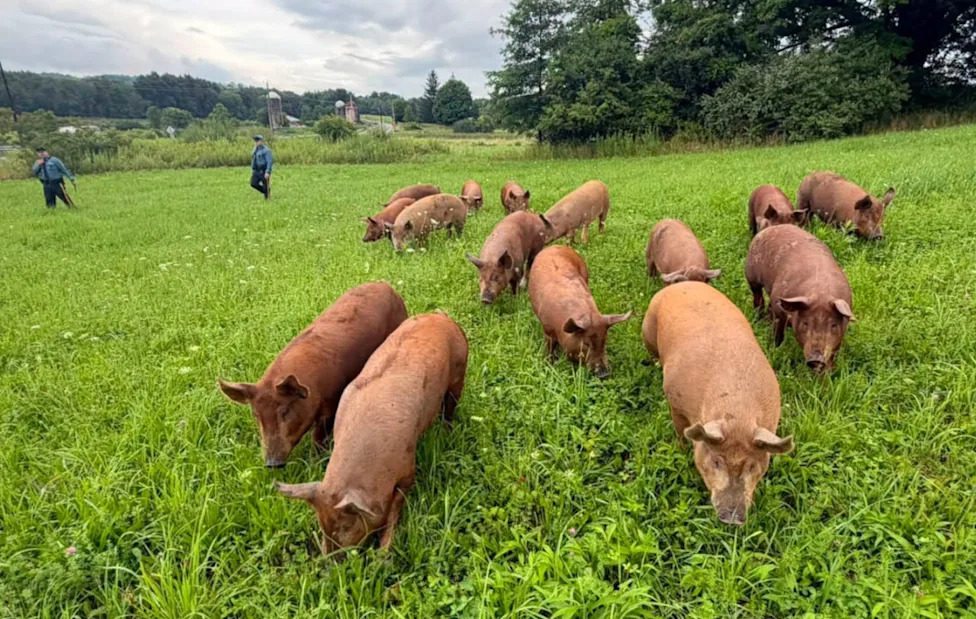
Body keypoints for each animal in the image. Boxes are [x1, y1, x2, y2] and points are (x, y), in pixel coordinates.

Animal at [218, 282, 408, 467]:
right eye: (256, 415)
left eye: (284, 411)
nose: (272, 464)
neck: (313, 388)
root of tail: (386, 285)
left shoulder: (332, 402)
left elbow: (319, 436)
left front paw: (316, 462)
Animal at [275, 312, 468, 555]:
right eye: (321, 523)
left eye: (346, 525)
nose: (332, 559)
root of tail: (440, 315)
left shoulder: (408, 466)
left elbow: (395, 509)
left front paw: (383, 553)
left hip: (460, 372)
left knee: (450, 408)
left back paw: (447, 432)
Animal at [528, 245, 631, 378]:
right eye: (586, 343)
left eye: (604, 340)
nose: (604, 374)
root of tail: (555, 246)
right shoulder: (547, 329)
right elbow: (550, 349)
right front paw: (550, 365)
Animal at [642, 281, 793, 525]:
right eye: (716, 462)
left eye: (752, 466)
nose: (732, 518)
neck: (737, 415)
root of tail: (683, 283)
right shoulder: (674, 401)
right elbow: (680, 432)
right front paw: (680, 450)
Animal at [746, 224, 854, 372]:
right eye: (806, 323)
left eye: (833, 325)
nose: (816, 359)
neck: (821, 293)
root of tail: (773, 227)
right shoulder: (779, 310)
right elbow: (778, 334)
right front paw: (774, 350)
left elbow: (833, 355)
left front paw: (827, 374)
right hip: (751, 276)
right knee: (758, 297)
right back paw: (758, 319)